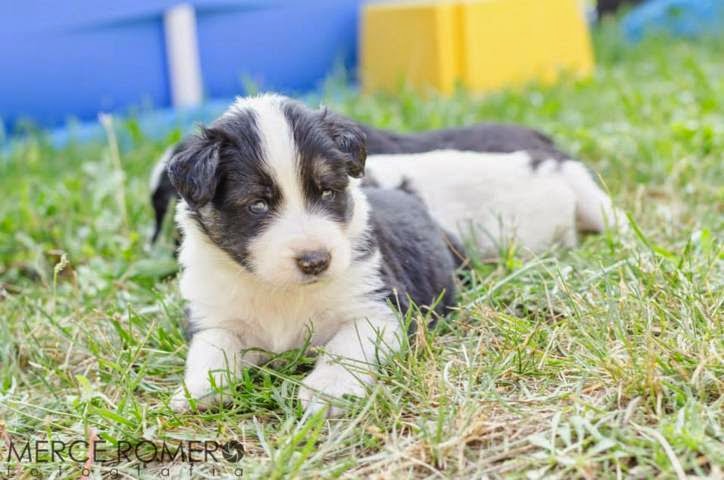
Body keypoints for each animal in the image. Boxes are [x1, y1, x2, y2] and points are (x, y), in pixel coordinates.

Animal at [166, 94, 458, 416]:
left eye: (327, 192)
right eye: (257, 205)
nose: (316, 261)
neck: (281, 291)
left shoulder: (381, 308)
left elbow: (346, 345)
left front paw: (328, 389)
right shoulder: (211, 310)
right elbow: (212, 343)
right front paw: (200, 389)